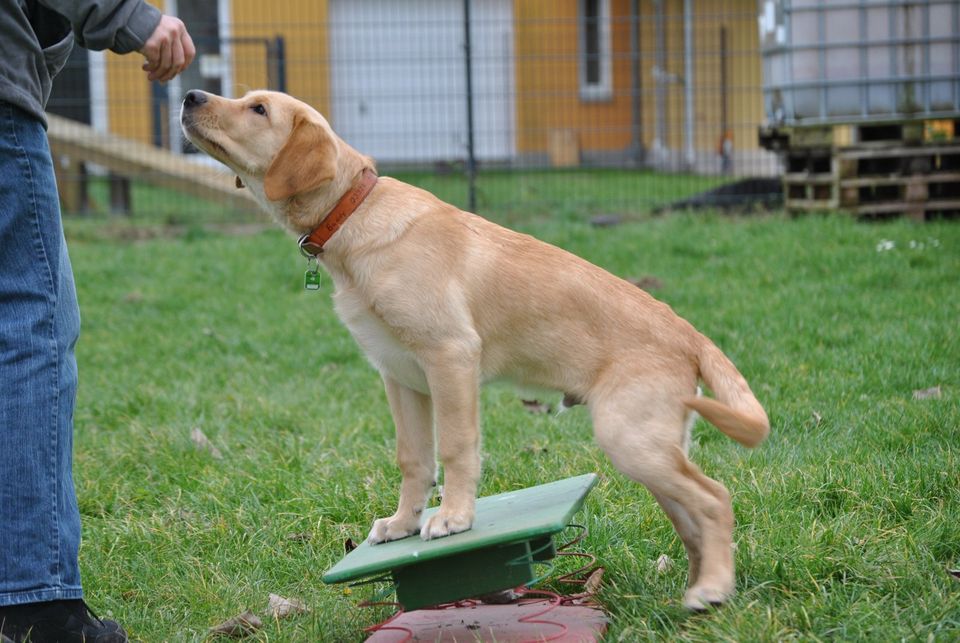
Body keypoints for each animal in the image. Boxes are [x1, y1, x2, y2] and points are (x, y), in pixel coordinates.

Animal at [182, 89, 772, 608]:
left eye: (259, 109)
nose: (189, 95)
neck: (354, 216)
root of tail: (690, 333)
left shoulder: (450, 357)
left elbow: (454, 447)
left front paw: (454, 518)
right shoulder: (399, 375)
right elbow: (413, 458)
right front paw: (403, 524)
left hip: (629, 436)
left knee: (715, 499)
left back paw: (712, 590)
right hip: (648, 445)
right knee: (691, 515)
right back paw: (698, 587)